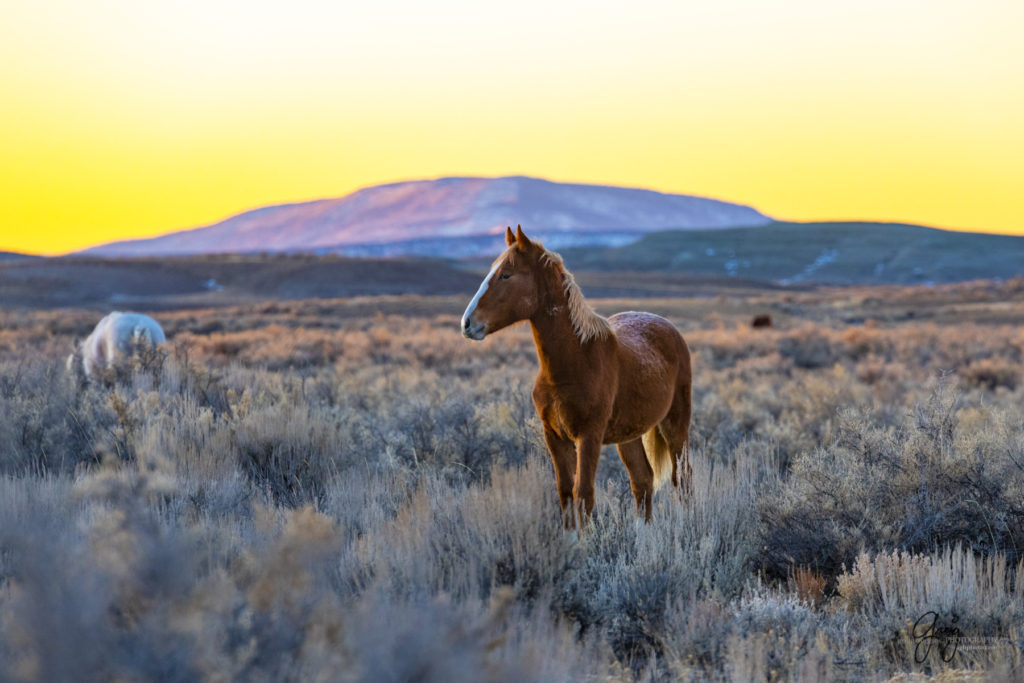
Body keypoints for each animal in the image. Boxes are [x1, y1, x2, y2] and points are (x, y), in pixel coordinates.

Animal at [462, 224, 688, 524]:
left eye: (506, 274)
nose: (466, 323)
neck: (576, 361)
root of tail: (667, 326)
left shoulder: (588, 437)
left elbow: (584, 495)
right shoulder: (555, 438)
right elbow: (566, 494)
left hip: (676, 423)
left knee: (682, 480)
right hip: (629, 435)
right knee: (642, 481)